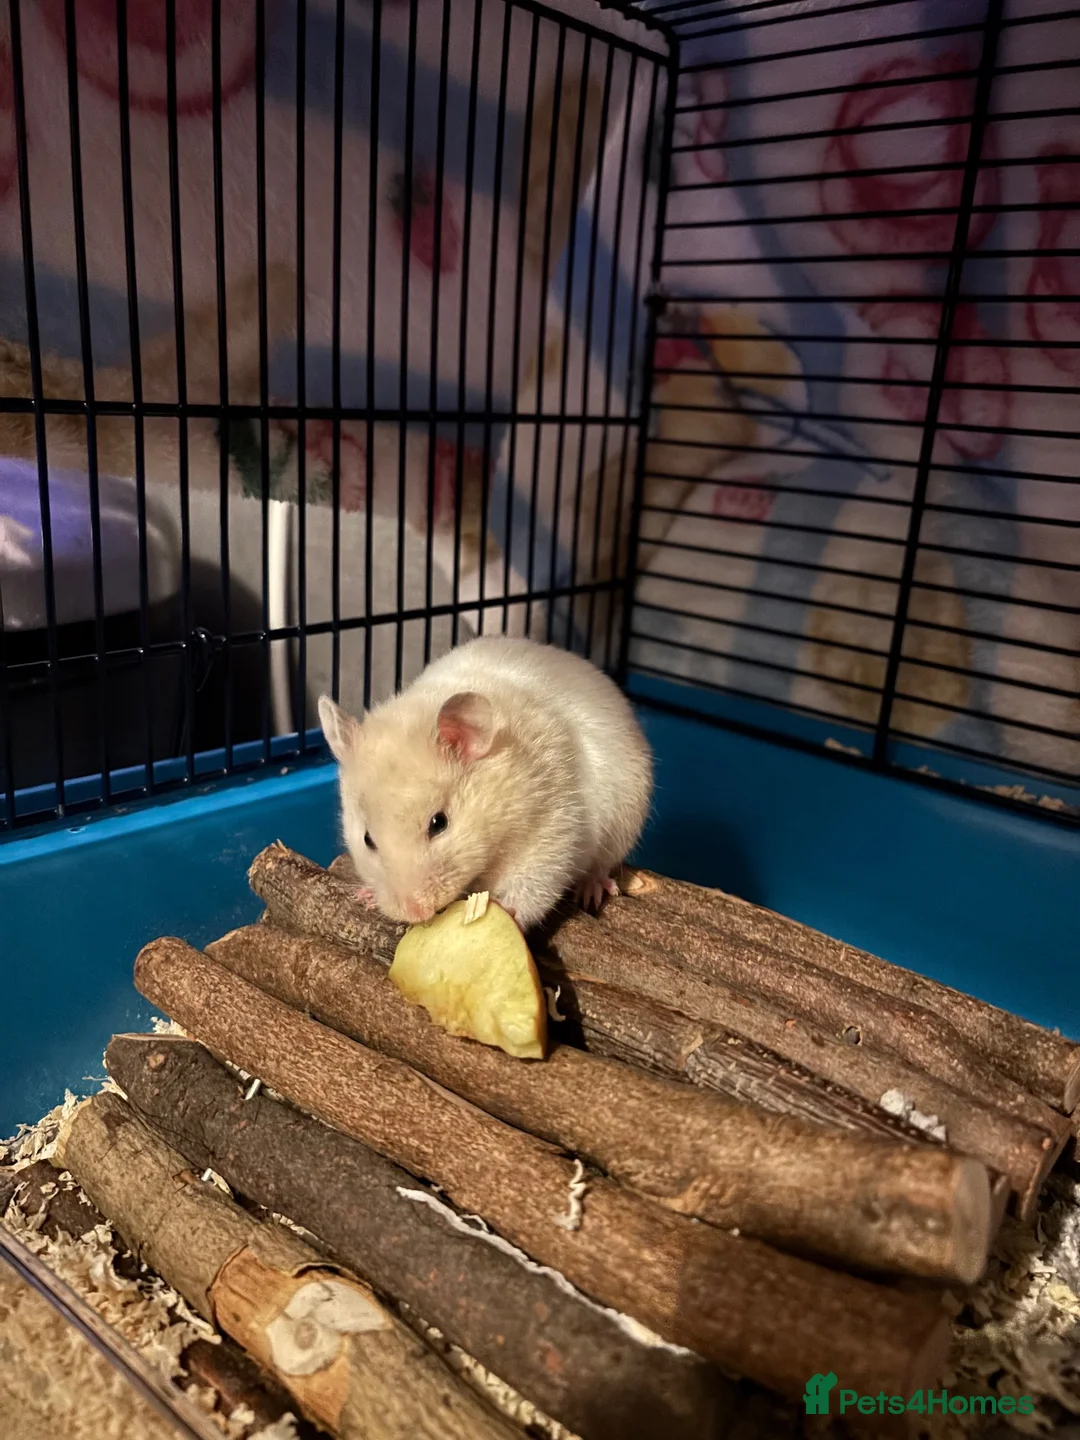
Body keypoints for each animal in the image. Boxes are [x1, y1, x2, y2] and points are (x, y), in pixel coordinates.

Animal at [318, 635, 653, 931]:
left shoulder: (553, 825)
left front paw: (509, 913)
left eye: (439, 823)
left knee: (601, 866)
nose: (416, 913)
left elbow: (535, 881)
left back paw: (592, 890)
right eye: (367, 839)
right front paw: (365, 897)